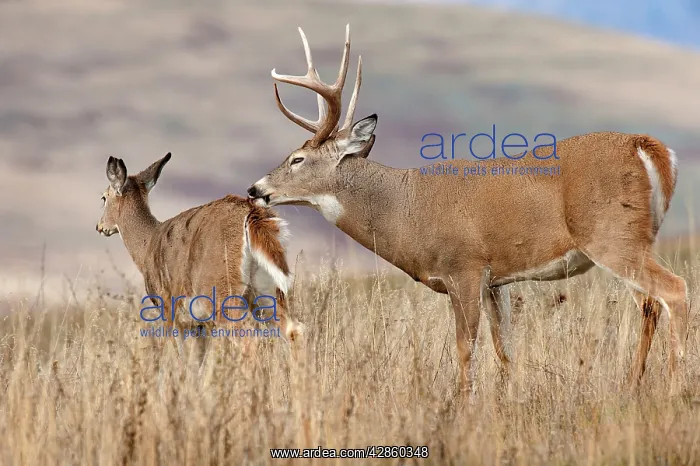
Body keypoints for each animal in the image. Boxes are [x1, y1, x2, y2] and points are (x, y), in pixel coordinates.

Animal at [96, 152, 304, 361]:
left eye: (104, 197)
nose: (99, 226)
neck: (147, 244)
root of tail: (251, 214)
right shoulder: (199, 326)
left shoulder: (169, 310)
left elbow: (180, 357)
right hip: (268, 292)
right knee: (293, 330)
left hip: (223, 294)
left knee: (249, 339)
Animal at [247, 24, 689, 397]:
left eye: (298, 159)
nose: (255, 190)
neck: (405, 207)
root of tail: (647, 146)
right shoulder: (497, 280)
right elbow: (505, 349)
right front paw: (509, 402)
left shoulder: (464, 267)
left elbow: (465, 346)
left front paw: (463, 405)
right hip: (632, 240)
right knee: (650, 304)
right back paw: (633, 385)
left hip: (612, 235)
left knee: (674, 290)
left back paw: (674, 388)